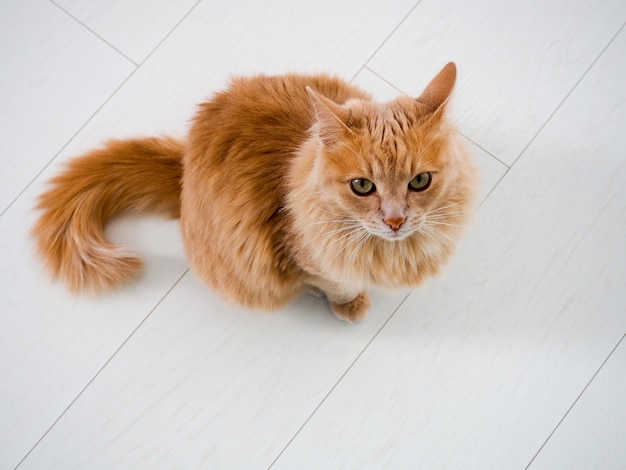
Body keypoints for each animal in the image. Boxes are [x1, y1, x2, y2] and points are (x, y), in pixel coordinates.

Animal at [31, 63, 472, 324]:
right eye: (362, 186)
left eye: (420, 181)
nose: (395, 220)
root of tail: (183, 167)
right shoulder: (299, 255)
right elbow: (334, 282)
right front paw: (348, 304)